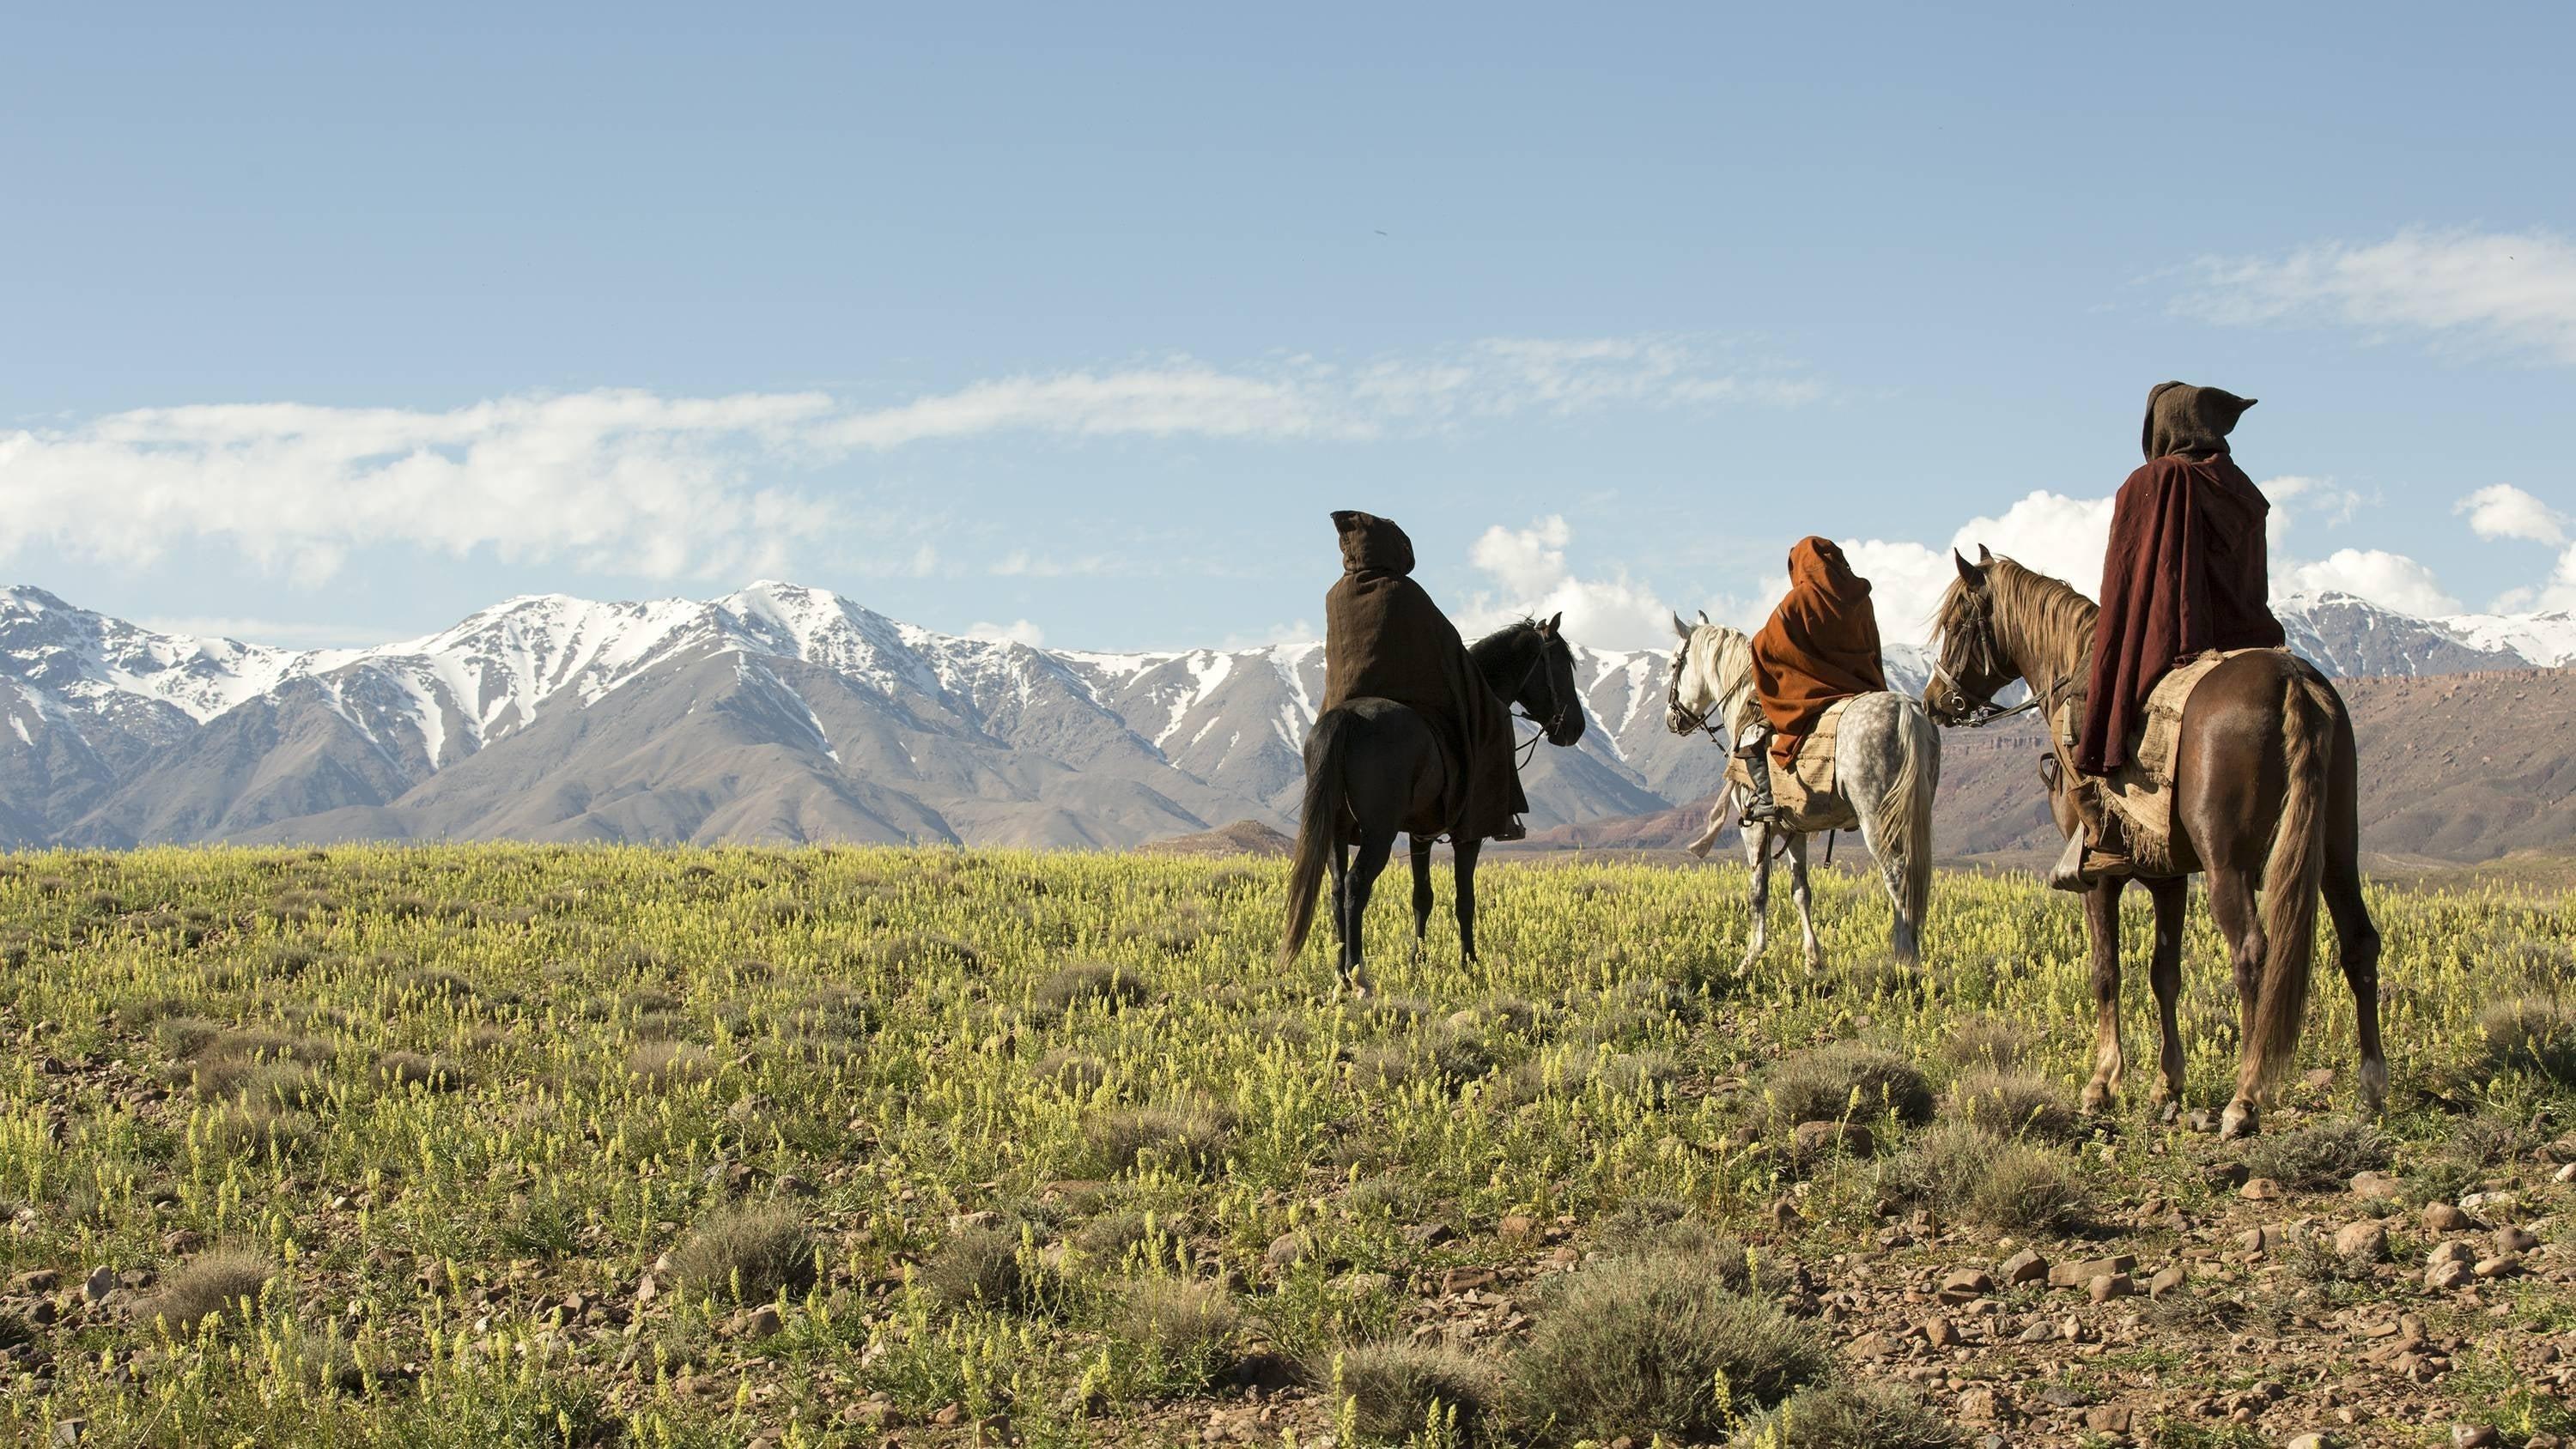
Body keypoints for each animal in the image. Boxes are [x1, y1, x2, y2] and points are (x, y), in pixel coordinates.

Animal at [1669, 617, 1937, 967]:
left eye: (1675, 663)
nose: (1672, 718)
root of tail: (1906, 709)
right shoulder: (1793, 830)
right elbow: (1801, 891)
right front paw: (1814, 961)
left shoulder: (1755, 828)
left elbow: (1758, 890)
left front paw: (1750, 959)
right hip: (1913, 813)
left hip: (1878, 819)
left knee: (1897, 875)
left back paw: (1905, 958)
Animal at [1927, 550, 2380, 1137]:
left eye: (1959, 622)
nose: (1935, 702)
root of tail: (2291, 679)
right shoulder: (2169, 877)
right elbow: (2164, 973)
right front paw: (2168, 1084)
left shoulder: (2099, 878)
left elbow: (2106, 972)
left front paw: (2101, 1083)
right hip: (2336, 852)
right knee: (2359, 943)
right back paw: (2372, 1088)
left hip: (2228, 865)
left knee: (2253, 953)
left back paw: (2244, 1100)